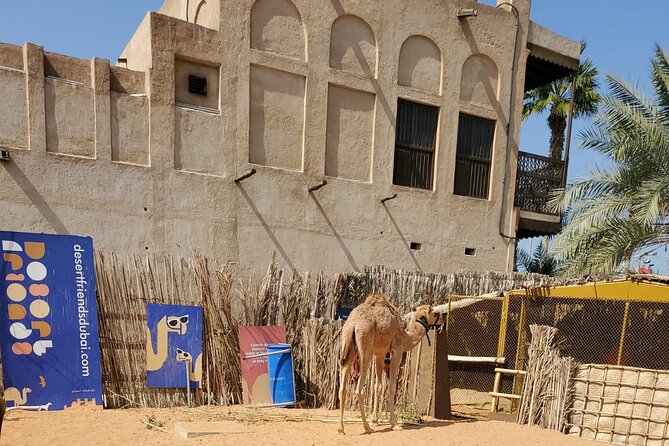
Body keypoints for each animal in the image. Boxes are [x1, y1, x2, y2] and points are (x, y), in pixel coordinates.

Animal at [340, 294, 444, 434]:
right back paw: (367, 427)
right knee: (359, 389)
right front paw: (394, 424)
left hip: (348, 345)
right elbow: (392, 387)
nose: (443, 318)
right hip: (365, 347)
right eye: (434, 313)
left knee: (343, 387)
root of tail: (353, 324)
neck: (406, 336)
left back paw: (341, 429)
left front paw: (375, 420)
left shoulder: (379, 353)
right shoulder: (397, 351)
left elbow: (378, 386)